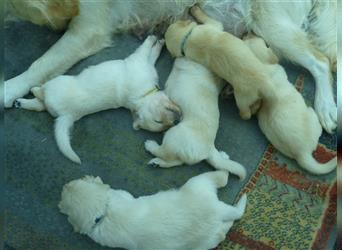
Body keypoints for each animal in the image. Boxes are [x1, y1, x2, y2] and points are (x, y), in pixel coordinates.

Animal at [4, 0, 336, 133]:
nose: (59, 22)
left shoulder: (87, 29)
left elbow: (41, 63)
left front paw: (8, 90)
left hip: (272, 26)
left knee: (322, 62)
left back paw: (327, 108)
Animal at [13, 35, 182, 164]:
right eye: (158, 121)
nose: (175, 122)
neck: (142, 96)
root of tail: (66, 116)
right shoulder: (140, 63)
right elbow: (149, 53)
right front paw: (157, 41)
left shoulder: (139, 63)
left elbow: (147, 52)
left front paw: (154, 40)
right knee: (40, 101)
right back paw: (23, 99)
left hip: (55, 87)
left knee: (40, 98)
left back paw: (26, 97)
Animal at [58, 172, 246, 250]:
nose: (64, 185)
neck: (103, 213)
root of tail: (217, 210)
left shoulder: (121, 195)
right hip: (204, 237)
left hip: (197, 185)